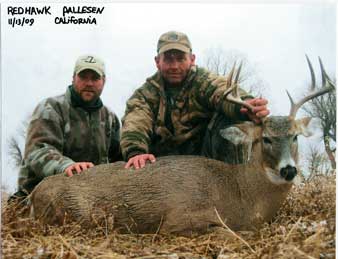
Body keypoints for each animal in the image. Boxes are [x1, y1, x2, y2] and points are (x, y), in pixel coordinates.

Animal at [28, 57, 332, 236]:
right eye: (265, 138)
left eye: (295, 137)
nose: (289, 170)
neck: (242, 196)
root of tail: (33, 195)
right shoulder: (179, 219)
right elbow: (231, 233)